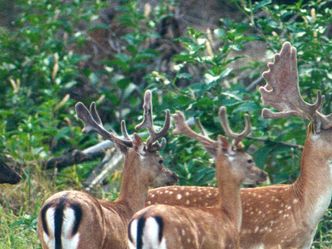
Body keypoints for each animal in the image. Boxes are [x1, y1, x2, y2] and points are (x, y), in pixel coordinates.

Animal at [37, 90, 178, 249]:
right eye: (160, 160)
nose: (174, 176)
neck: (127, 209)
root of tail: (61, 204)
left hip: (44, 240)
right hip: (87, 242)